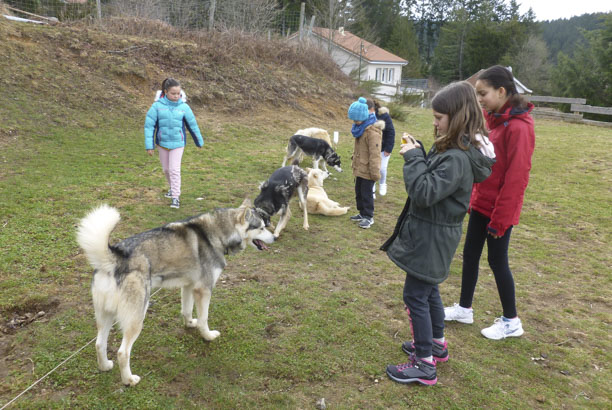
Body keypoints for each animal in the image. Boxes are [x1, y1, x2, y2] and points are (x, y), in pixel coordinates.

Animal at [77, 200, 274, 386]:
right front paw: (208, 336)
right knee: (122, 352)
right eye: (261, 227)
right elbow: (204, 318)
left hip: (105, 315)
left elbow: (186, 311)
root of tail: (113, 259)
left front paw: (190, 324)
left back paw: (104, 366)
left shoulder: (189, 286)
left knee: (99, 343)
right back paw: (129, 380)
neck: (216, 234)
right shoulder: (203, 289)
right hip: (136, 318)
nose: (275, 237)